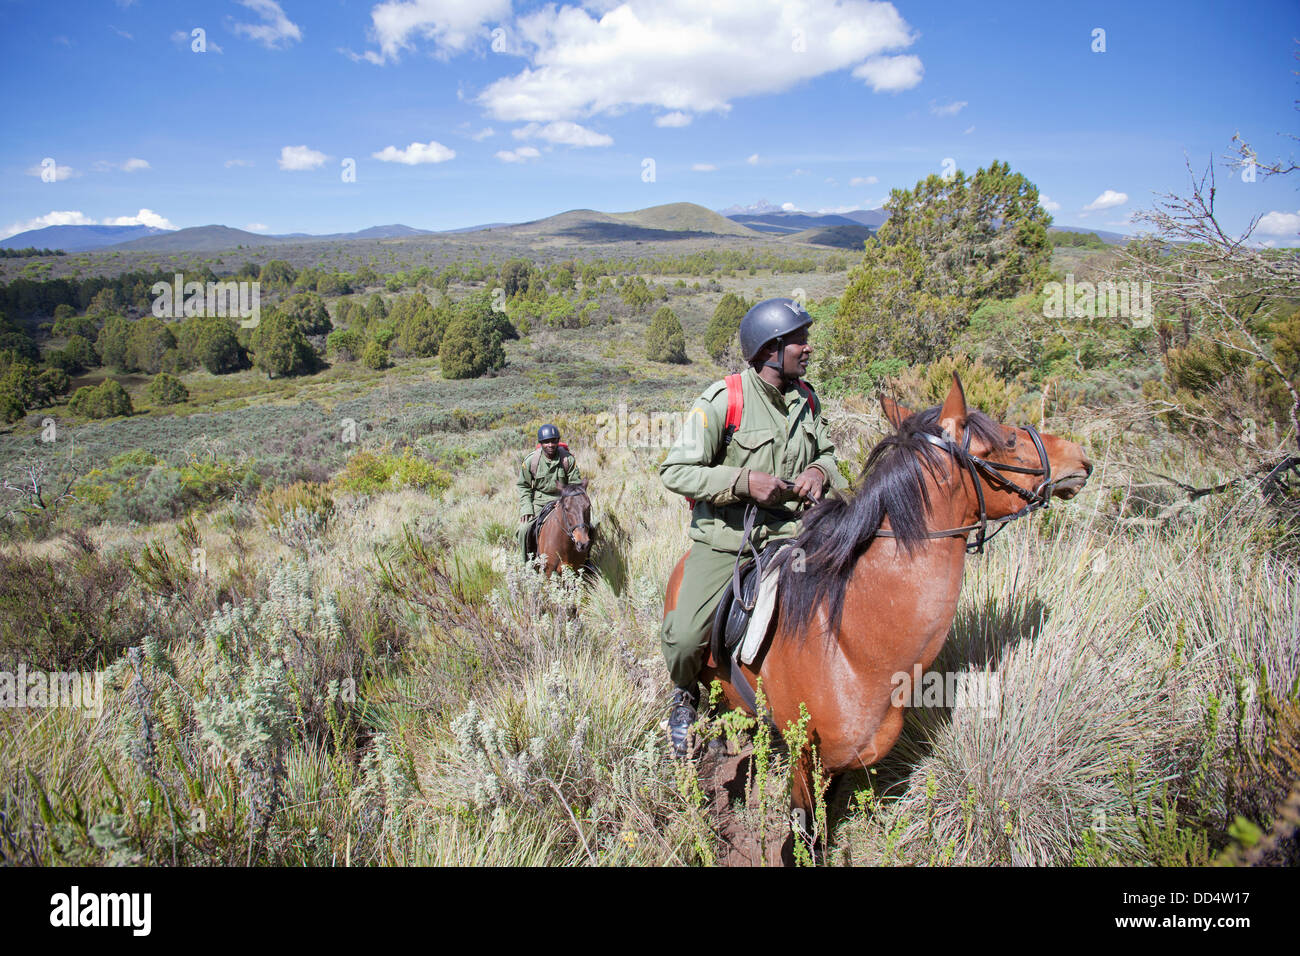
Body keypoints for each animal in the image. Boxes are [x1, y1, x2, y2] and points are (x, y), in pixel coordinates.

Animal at [665, 374, 1092, 853]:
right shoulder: (804, 756)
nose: (1079, 456)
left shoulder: (841, 764)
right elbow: (805, 836)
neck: (853, 643)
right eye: (1010, 440)